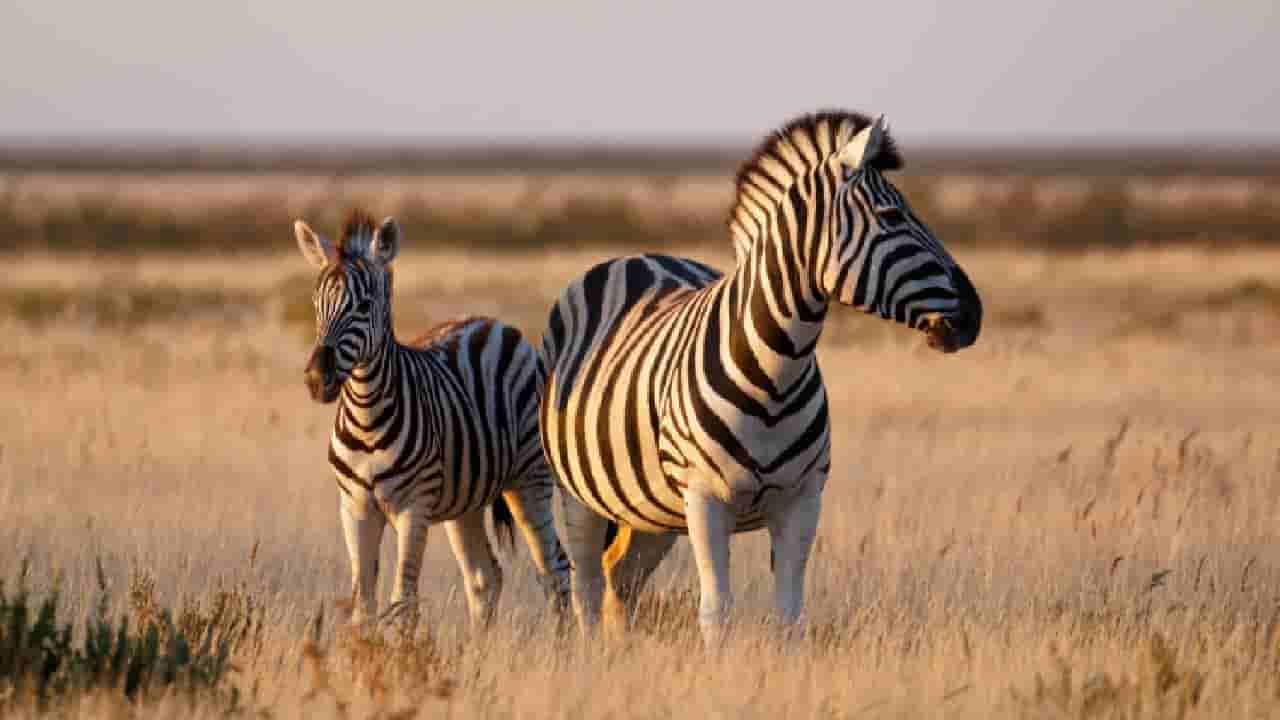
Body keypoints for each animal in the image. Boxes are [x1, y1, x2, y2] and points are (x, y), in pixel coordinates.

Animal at [294, 211, 570, 629]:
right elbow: (363, 604)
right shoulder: (354, 508)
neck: (366, 417)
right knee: (484, 575)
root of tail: (492, 323)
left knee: (554, 568)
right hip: (467, 500)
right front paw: (363, 648)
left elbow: (403, 600)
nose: (316, 379)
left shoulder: (414, 507)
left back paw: (565, 643)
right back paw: (478, 645)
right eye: (316, 302)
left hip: (530, 479)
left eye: (364, 305)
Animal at [539, 111, 982, 646]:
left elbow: (790, 614)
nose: (975, 313)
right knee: (584, 582)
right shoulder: (705, 500)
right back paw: (592, 654)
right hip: (579, 492)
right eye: (892, 216)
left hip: (651, 509)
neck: (776, 374)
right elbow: (716, 610)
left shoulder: (802, 499)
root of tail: (637, 256)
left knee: (620, 578)